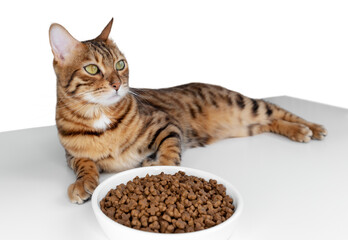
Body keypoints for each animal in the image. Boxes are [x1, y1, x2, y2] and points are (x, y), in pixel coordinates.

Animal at [48, 18, 326, 203]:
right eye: (92, 69)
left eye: (120, 64)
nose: (118, 84)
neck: (100, 117)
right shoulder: (71, 155)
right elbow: (85, 165)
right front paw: (82, 184)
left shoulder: (166, 124)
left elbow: (170, 153)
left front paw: (160, 166)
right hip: (247, 125)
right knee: (269, 122)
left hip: (246, 105)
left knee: (278, 111)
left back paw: (310, 128)